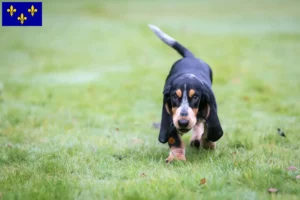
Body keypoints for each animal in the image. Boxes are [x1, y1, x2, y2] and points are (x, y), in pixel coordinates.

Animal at [149, 24, 224, 162]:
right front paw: (177, 158)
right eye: (174, 96)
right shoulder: (170, 114)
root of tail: (191, 57)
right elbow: (174, 139)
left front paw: (208, 144)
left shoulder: (210, 106)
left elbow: (208, 131)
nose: (183, 122)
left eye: (195, 97)